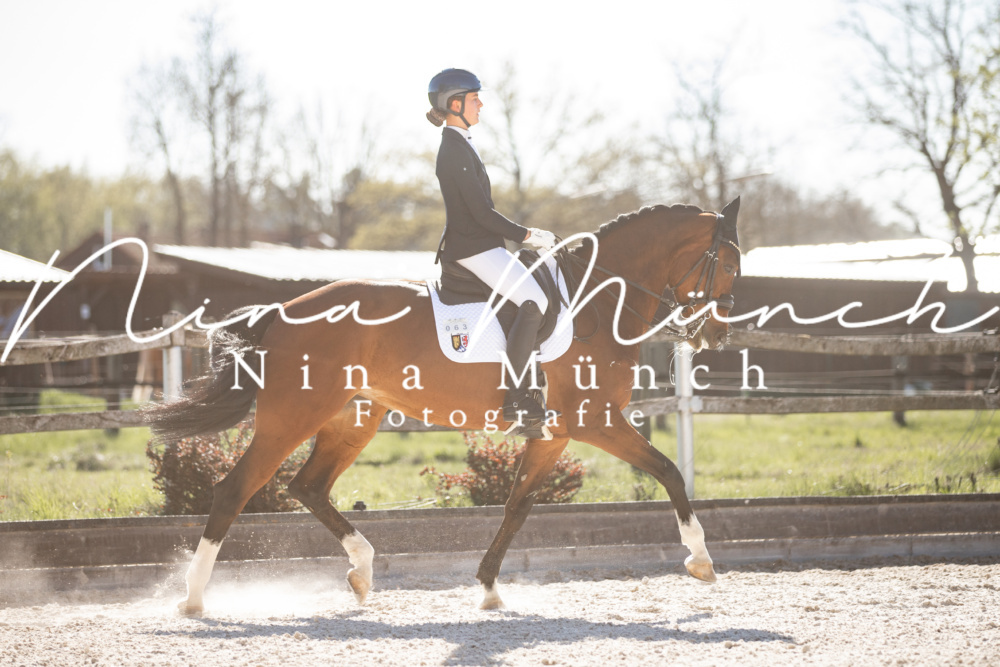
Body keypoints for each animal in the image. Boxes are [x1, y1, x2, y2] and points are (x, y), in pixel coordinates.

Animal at [144, 198, 743, 614]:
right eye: (732, 266)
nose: (715, 335)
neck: (594, 300)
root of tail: (284, 310)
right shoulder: (596, 422)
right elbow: (669, 471)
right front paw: (701, 560)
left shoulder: (554, 435)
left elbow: (517, 506)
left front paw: (488, 588)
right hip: (292, 418)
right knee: (236, 490)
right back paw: (193, 599)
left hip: (352, 419)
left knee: (308, 487)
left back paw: (362, 571)